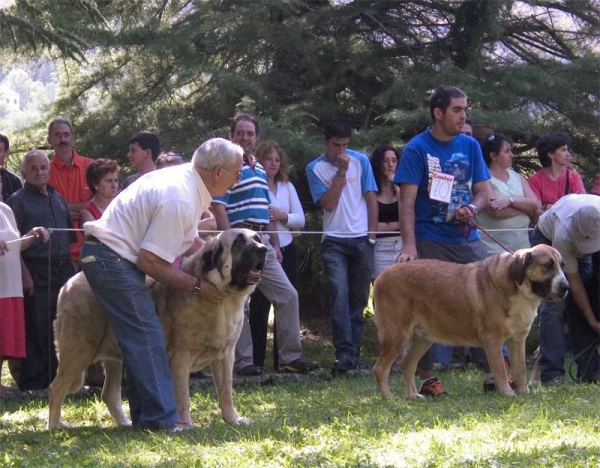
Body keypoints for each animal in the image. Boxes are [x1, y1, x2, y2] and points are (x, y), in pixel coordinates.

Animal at [48, 229, 268, 430]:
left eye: (257, 238)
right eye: (239, 242)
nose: (263, 249)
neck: (225, 301)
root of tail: (68, 285)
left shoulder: (225, 356)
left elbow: (226, 392)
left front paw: (233, 419)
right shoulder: (180, 357)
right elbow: (182, 395)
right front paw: (185, 425)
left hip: (113, 360)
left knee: (109, 394)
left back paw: (125, 424)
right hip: (78, 351)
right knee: (56, 388)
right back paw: (55, 426)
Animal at [372, 245, 568, 398]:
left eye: (562, 265)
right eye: (547, 265)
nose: (566, 287)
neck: (516, 287)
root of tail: (382, 276)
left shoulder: (517, 340)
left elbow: (520, 369)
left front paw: (523, 392)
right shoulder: (492, 341)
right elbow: (500, 369)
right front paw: (507, 393)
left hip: (423, 340)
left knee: (407, 366)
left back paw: (413, 395)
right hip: (396, 337)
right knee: (380, 369)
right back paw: (389, 397)